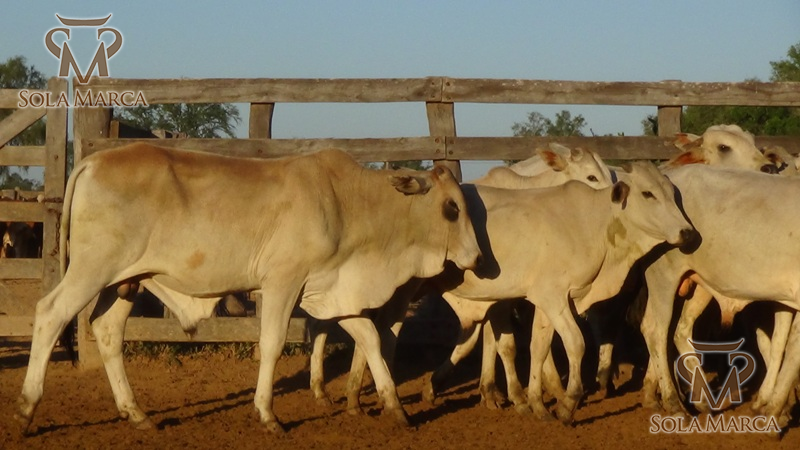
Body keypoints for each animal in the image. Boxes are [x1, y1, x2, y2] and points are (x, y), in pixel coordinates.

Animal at [14, 144, 483, 434]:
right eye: (451, 208)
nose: (477, 258)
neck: (347, 203)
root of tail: (92, 160)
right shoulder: (282, 283)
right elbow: (272, 344)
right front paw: (267, 414)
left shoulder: (330, 290)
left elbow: (368, 337)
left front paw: (396, 408)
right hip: (91, 270)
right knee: (51, 313)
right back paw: (27, 408)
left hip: (123, 282)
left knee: (108, 331)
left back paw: (136, 414)